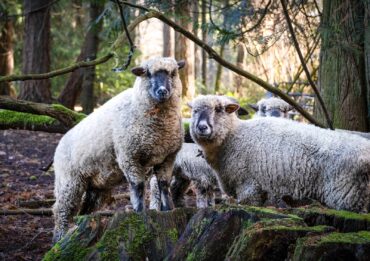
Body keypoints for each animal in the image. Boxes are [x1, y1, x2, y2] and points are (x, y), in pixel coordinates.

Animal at [52, 57, 185, 242]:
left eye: (173, 73)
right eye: (148, 73)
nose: (162, 91)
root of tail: (60, 144)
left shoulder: (167, 158)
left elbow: (164, 185)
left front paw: (169, 210)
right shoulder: (129, 156)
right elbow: (138, 186)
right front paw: (139, 212)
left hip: (97, 186)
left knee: (86, 207)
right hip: (69, 181)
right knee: (62, 210)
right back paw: (59, 237)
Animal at [189, 94, 370, 212]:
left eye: (219, 109)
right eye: (195, 111)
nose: (202, 127)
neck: (234, 136)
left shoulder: (249, 185)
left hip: (347, 195)